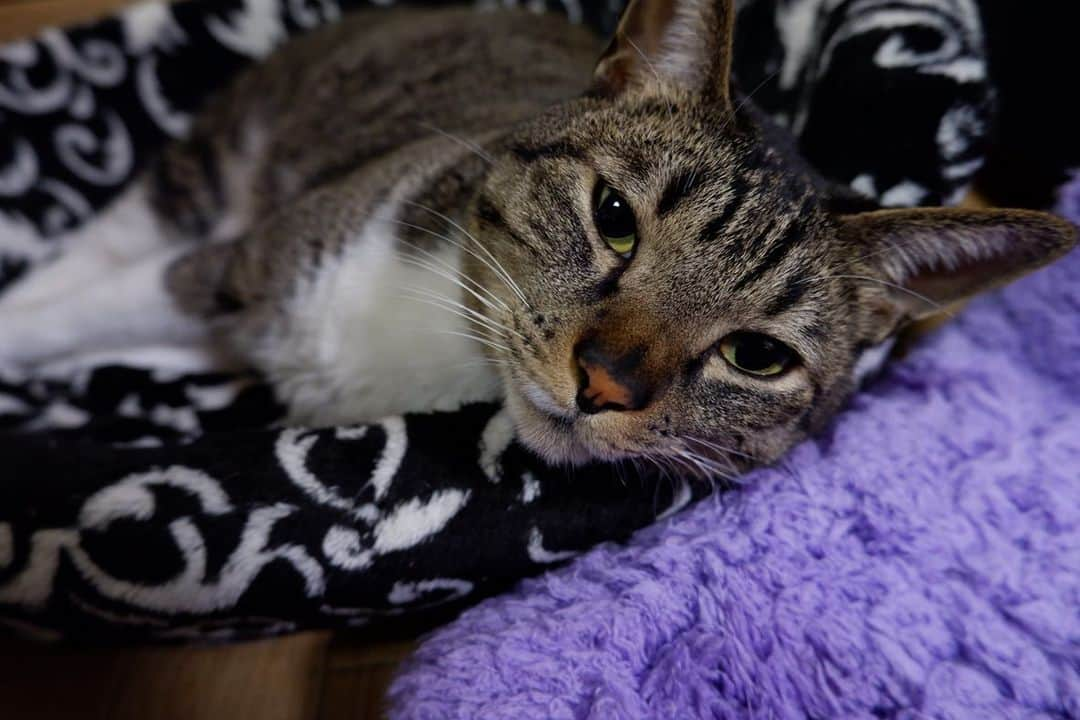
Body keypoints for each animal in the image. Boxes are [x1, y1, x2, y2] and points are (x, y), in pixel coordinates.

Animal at [0, 0, 1075, 470]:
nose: (604, 383)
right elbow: (50, 320)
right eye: (614, 220)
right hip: (206, 171)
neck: (443, 341)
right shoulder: (250, 257)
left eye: (758, 356)